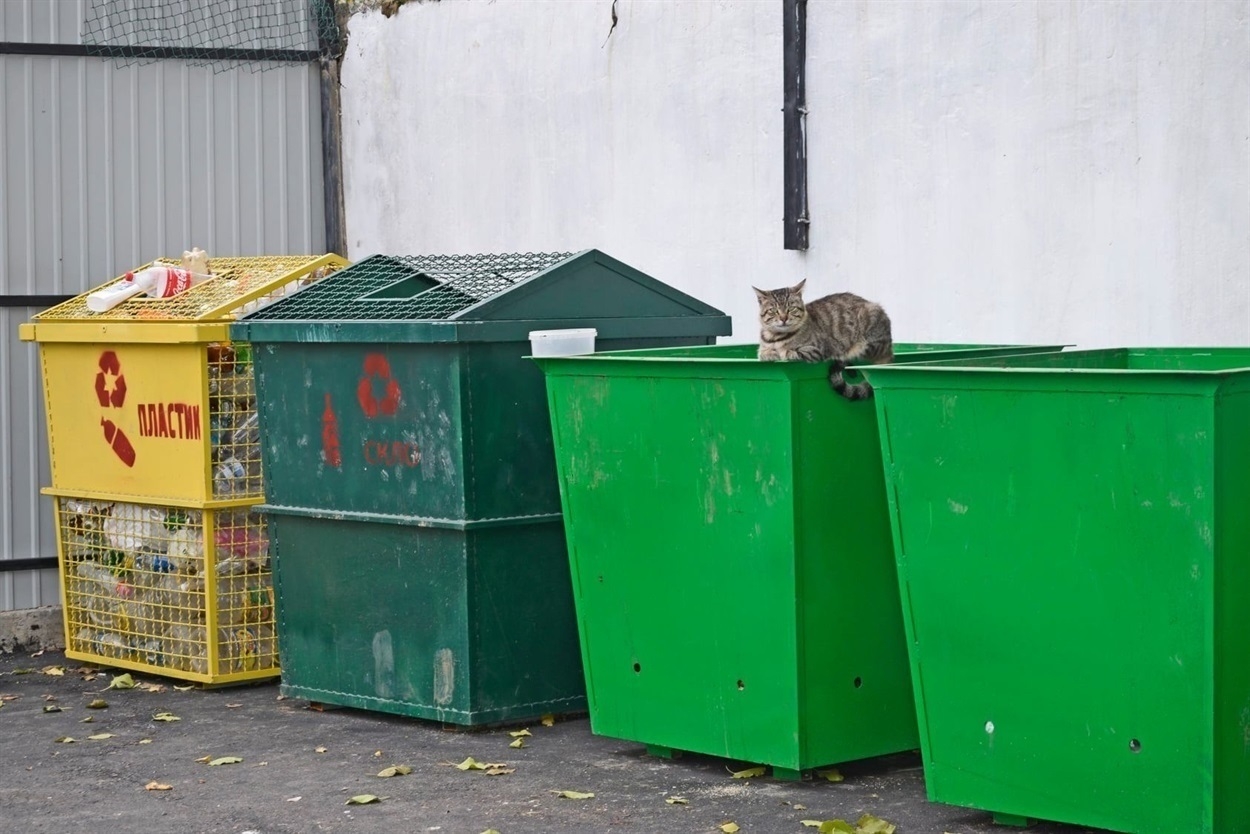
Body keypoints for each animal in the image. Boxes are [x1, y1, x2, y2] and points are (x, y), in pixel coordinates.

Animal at [755, 278, 895, 400]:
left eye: (791, 308)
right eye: (773, 311)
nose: (783, 318)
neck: (776, 337)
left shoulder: (816, 350)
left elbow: (790, 352)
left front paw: (781, 352)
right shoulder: (763, 347)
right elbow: (763, 353)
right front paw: (769, 354)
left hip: (866, 338)